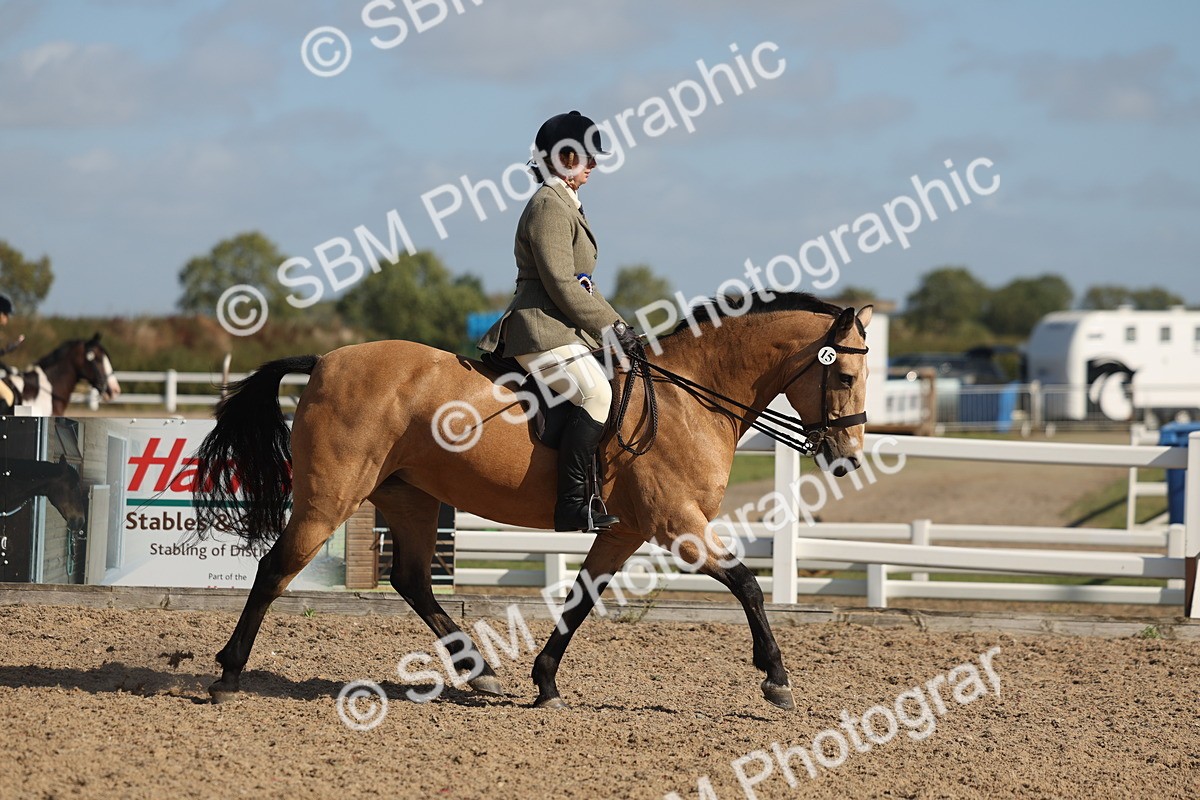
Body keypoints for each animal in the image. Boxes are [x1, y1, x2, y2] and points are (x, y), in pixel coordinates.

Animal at [192, 292, 873, 709]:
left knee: (411, 579)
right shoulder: (677, 524)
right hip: (330, 498)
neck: (690, 398)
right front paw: (777, 679)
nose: (846, 458)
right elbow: (749, 584)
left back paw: (480, 672)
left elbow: (581, 599)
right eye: (843, 375)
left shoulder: (624, 529)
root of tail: (325, 360)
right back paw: (228, 674)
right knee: (275, 569)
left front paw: (544, 681)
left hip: (409, 497)